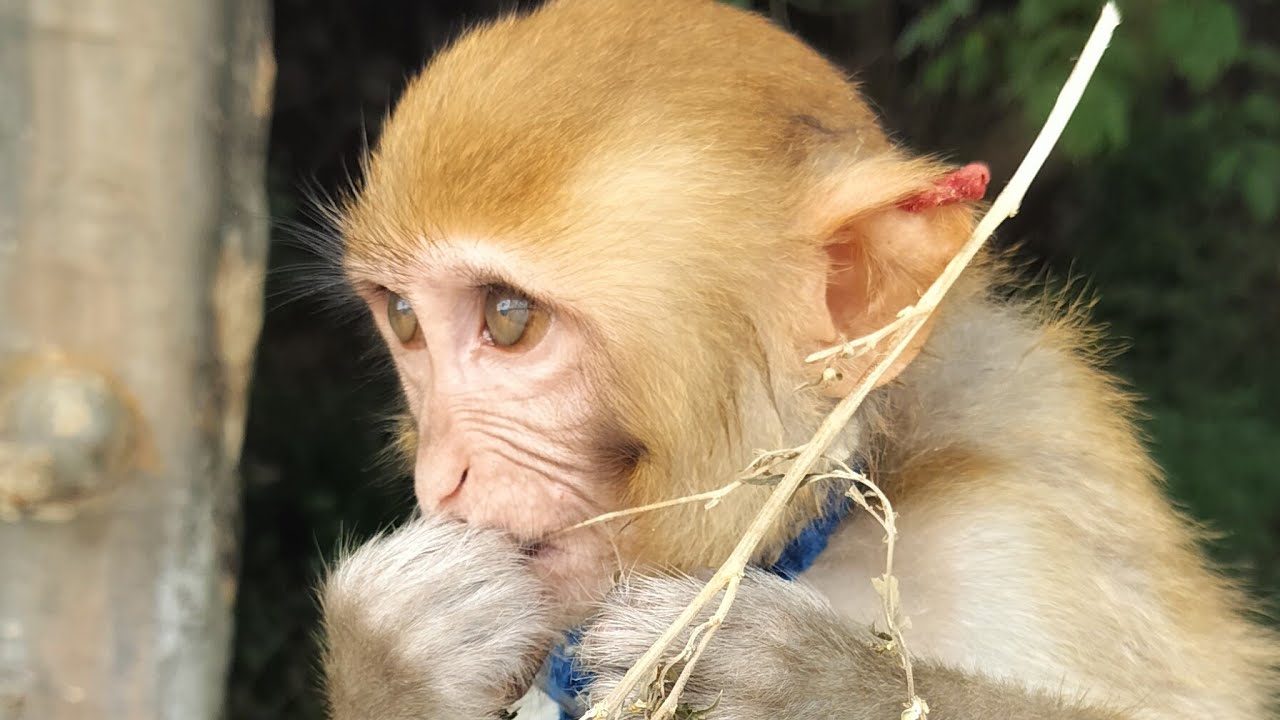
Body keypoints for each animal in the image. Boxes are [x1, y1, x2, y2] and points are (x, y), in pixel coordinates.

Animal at [315, 0, 1280, 718]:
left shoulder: (1011, 536)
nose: (441, 478)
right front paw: (390, 656)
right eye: (405, 317)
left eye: (509, 319)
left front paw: (812, 684)